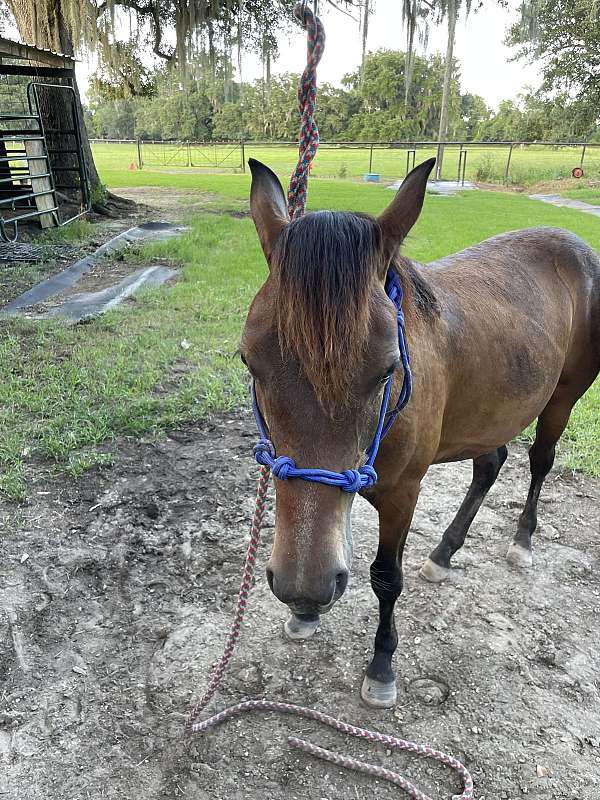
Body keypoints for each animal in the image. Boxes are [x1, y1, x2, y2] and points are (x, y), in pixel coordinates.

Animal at [241, 157, 600, 708]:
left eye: (388, 368)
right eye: (249, 361)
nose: (304, 587)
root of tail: (576, 244)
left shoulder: (403, 494)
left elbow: (386, 578)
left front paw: (382, 665)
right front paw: (304, 615)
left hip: (563, 397)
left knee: (539, 462)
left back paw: (521, 541)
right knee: (489, 465)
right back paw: (444, 553)